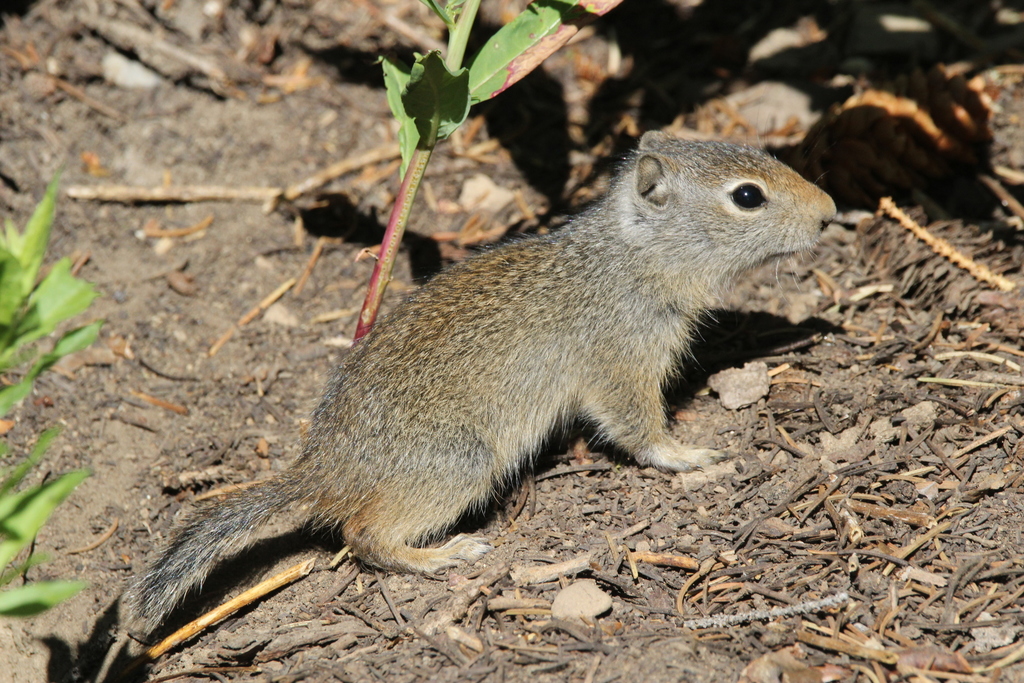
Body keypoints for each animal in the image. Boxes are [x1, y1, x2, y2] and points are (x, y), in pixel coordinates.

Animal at [129, 131, 836, 630]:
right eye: (747, 195)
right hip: (462, 464)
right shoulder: (621, 366)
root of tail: (324, 469)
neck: (629, 255)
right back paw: (442, 554)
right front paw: (688, 457)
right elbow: (639, 429)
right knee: (363, 537)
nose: (830, 211)